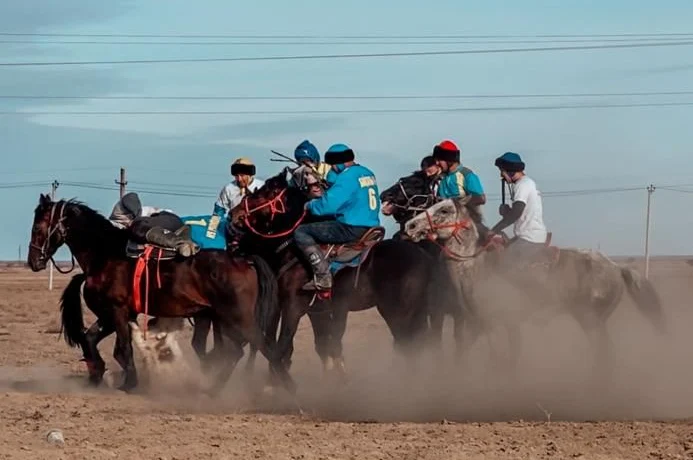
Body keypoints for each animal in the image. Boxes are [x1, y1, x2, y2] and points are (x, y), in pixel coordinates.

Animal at [27, 193, 294, 396]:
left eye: (38, 227)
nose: (33, 261)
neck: (104, 255)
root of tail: (245, 259)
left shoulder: (117, 312)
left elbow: (122, 348)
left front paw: (129, 383)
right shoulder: (115, 315)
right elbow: (90, 339)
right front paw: (97, 374)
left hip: (239, 318)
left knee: (264, 348)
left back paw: (288, 390)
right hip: (223, 319)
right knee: (236, 351)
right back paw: (214, 388)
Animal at [224, 169, 436, 380]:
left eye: (262, 194)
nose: (234, 214)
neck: (294, 253)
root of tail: (424, 257)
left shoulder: (293, 307)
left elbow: (282, 347)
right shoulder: (317, 311)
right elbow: (324, 346)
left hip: (398, 313)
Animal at [402, 197, 668, 374]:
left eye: (445, 209)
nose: (410, 226)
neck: (477, 265)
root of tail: (615, 267)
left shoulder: (489, 322)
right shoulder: (494, 323)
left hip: (591, 320)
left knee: (605, 354)